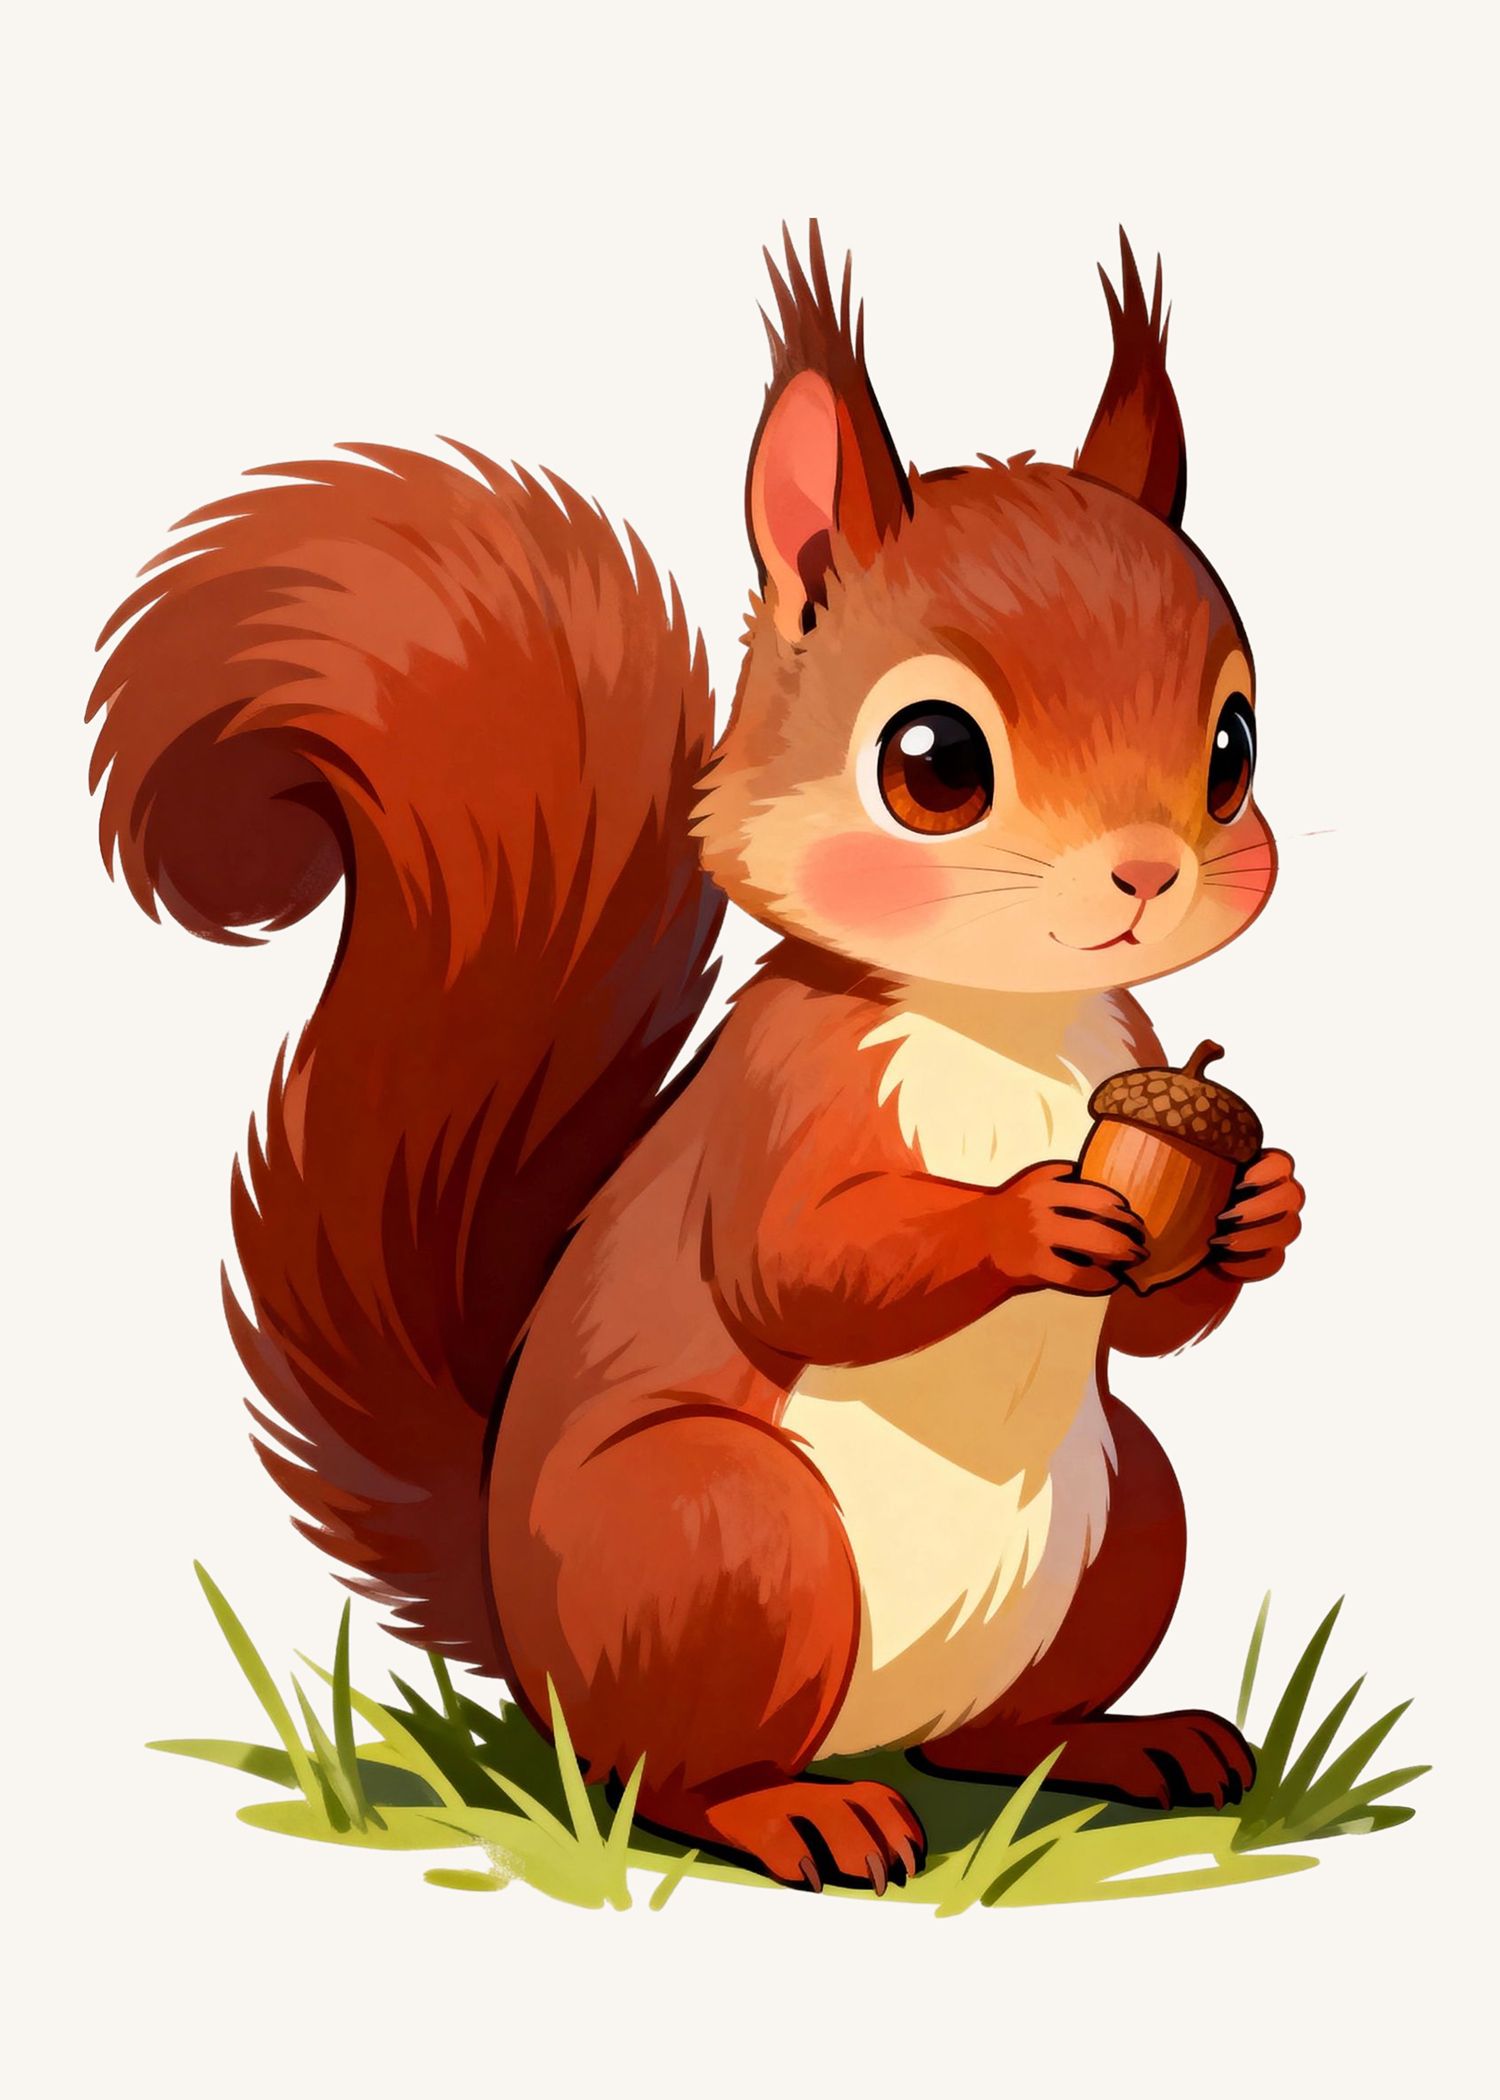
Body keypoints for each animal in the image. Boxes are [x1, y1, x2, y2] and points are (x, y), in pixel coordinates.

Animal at [88, 225, 1305, 1893]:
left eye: (1235, 744)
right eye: (935, 763)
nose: (1146, 874)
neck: (1006, 1022)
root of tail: (526, 1645)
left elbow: (1155, 1324)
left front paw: (1263, 1211)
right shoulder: (782, 1098)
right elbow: (801, 1264)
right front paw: (1027, 1218)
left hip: (1131, 1520)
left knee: (986, 1736)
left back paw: (1115, 1743)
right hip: (721, 1536)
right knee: (660, 1772)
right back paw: (794, 1812)